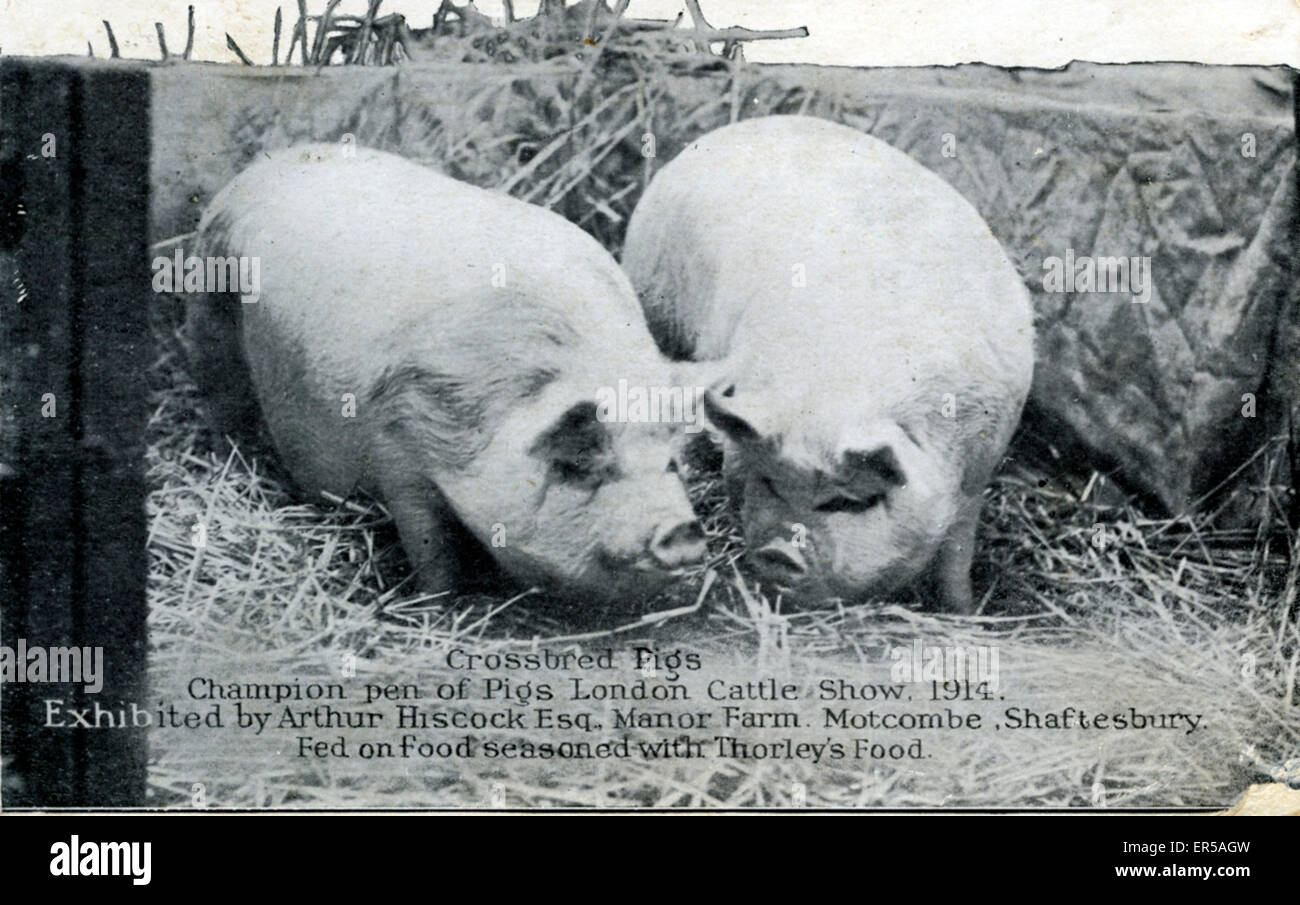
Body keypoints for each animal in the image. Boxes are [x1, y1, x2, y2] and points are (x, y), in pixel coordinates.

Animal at [188, 143, 707, 600]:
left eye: (671, 465)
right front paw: (436, 604)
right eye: (581, 466)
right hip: (210, 310)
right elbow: (430, 544)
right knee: (219, 394)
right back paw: (228, 456)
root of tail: (263, 166)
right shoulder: (400, 443)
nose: (681, 529)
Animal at [618, 113, 1034, 608]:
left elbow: (957, 555)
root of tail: (732, 131)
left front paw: (963, 611)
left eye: (848, 503)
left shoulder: (977, 471)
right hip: (655, 303)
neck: (838, 398)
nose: (781, 553)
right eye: (771, 482)